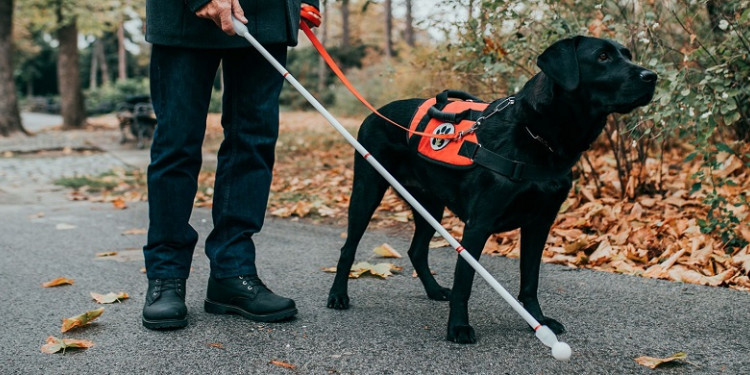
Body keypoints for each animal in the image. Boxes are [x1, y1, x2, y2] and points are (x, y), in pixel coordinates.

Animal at [328, 36, 656, 346]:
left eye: (627, 54)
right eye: (602, 56)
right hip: (367, 191)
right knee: (348, 248)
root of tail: (375, 113)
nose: (652, 76)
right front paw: (458, 327)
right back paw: (338, 295)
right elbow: (464, 281)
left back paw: (433, 290)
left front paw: (537, 322)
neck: (535, 135)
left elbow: (530, 280)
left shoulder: (540, 223)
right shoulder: (479, 225)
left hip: (429, 204)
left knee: (417, 250)